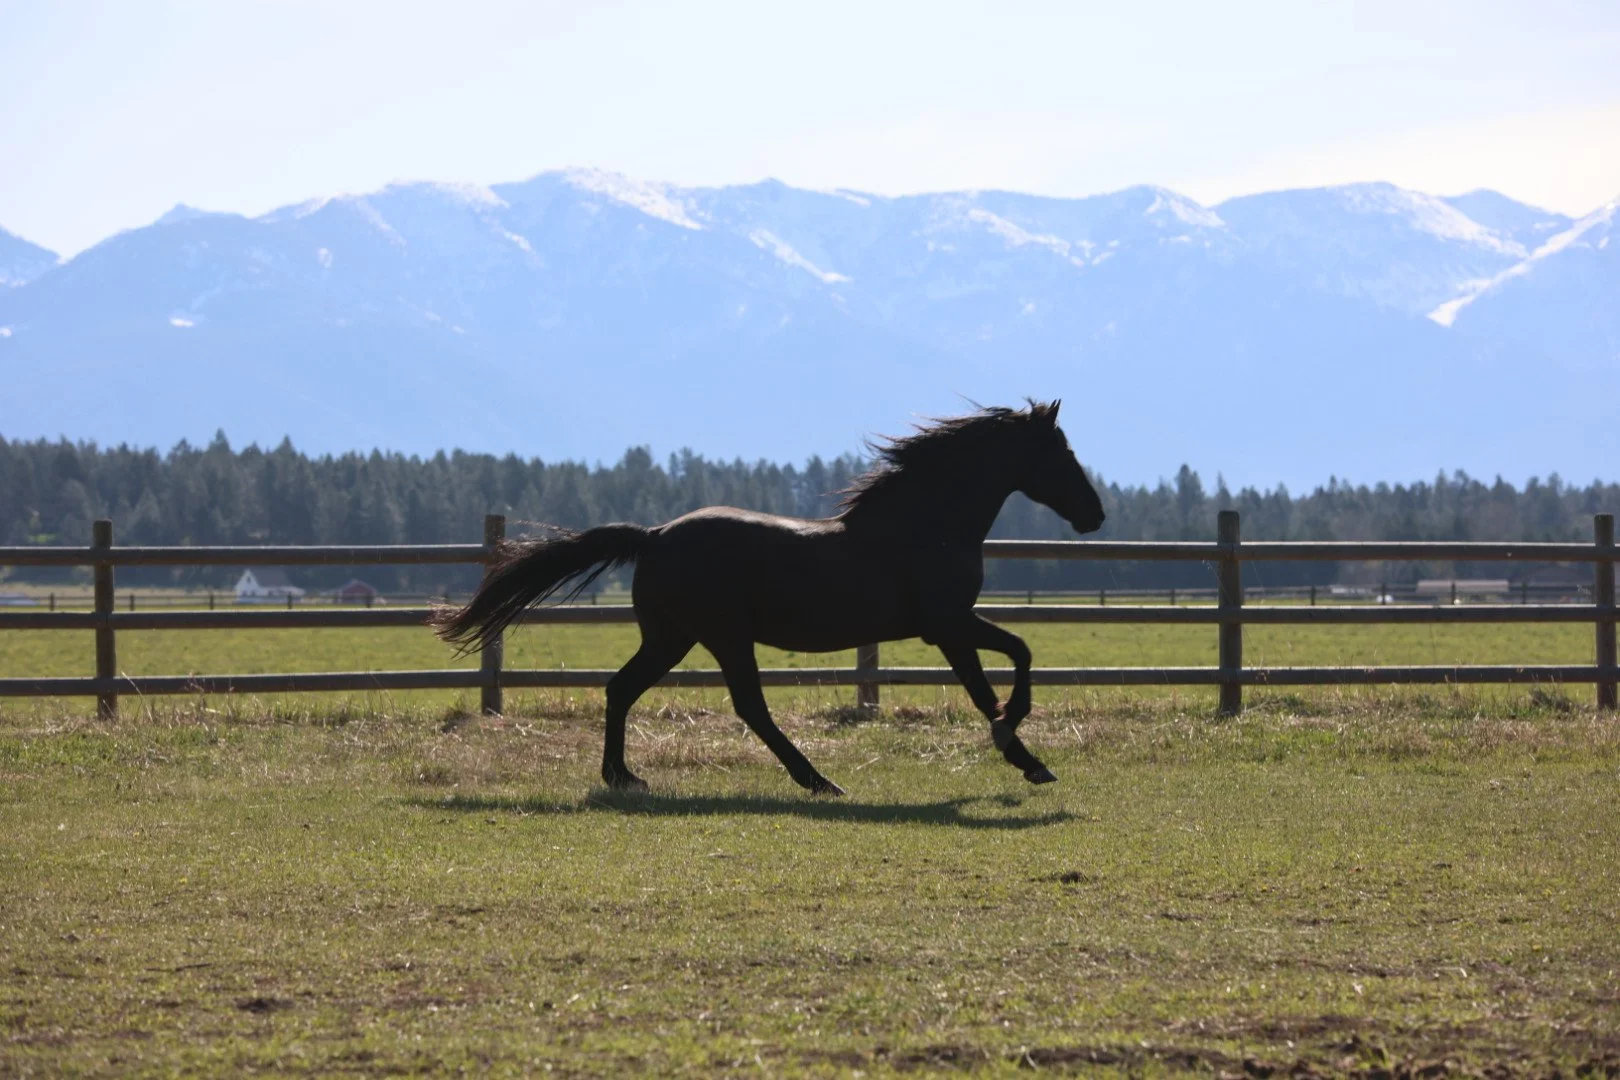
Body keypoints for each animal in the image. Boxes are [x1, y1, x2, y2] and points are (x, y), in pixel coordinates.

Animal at [432, 400, 1106, 795]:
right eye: (1063, 452)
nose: (1095, 514)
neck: (926, 524)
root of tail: (654, 535)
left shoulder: (949, 626)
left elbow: (1000, 669)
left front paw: (1021, 751)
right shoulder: (946, 623)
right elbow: (1007, 667)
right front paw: (1019, 745)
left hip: (672, 638)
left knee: (621, 689)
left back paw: (624, 777)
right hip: (723, 637)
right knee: (749, 707)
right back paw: (818, 781)